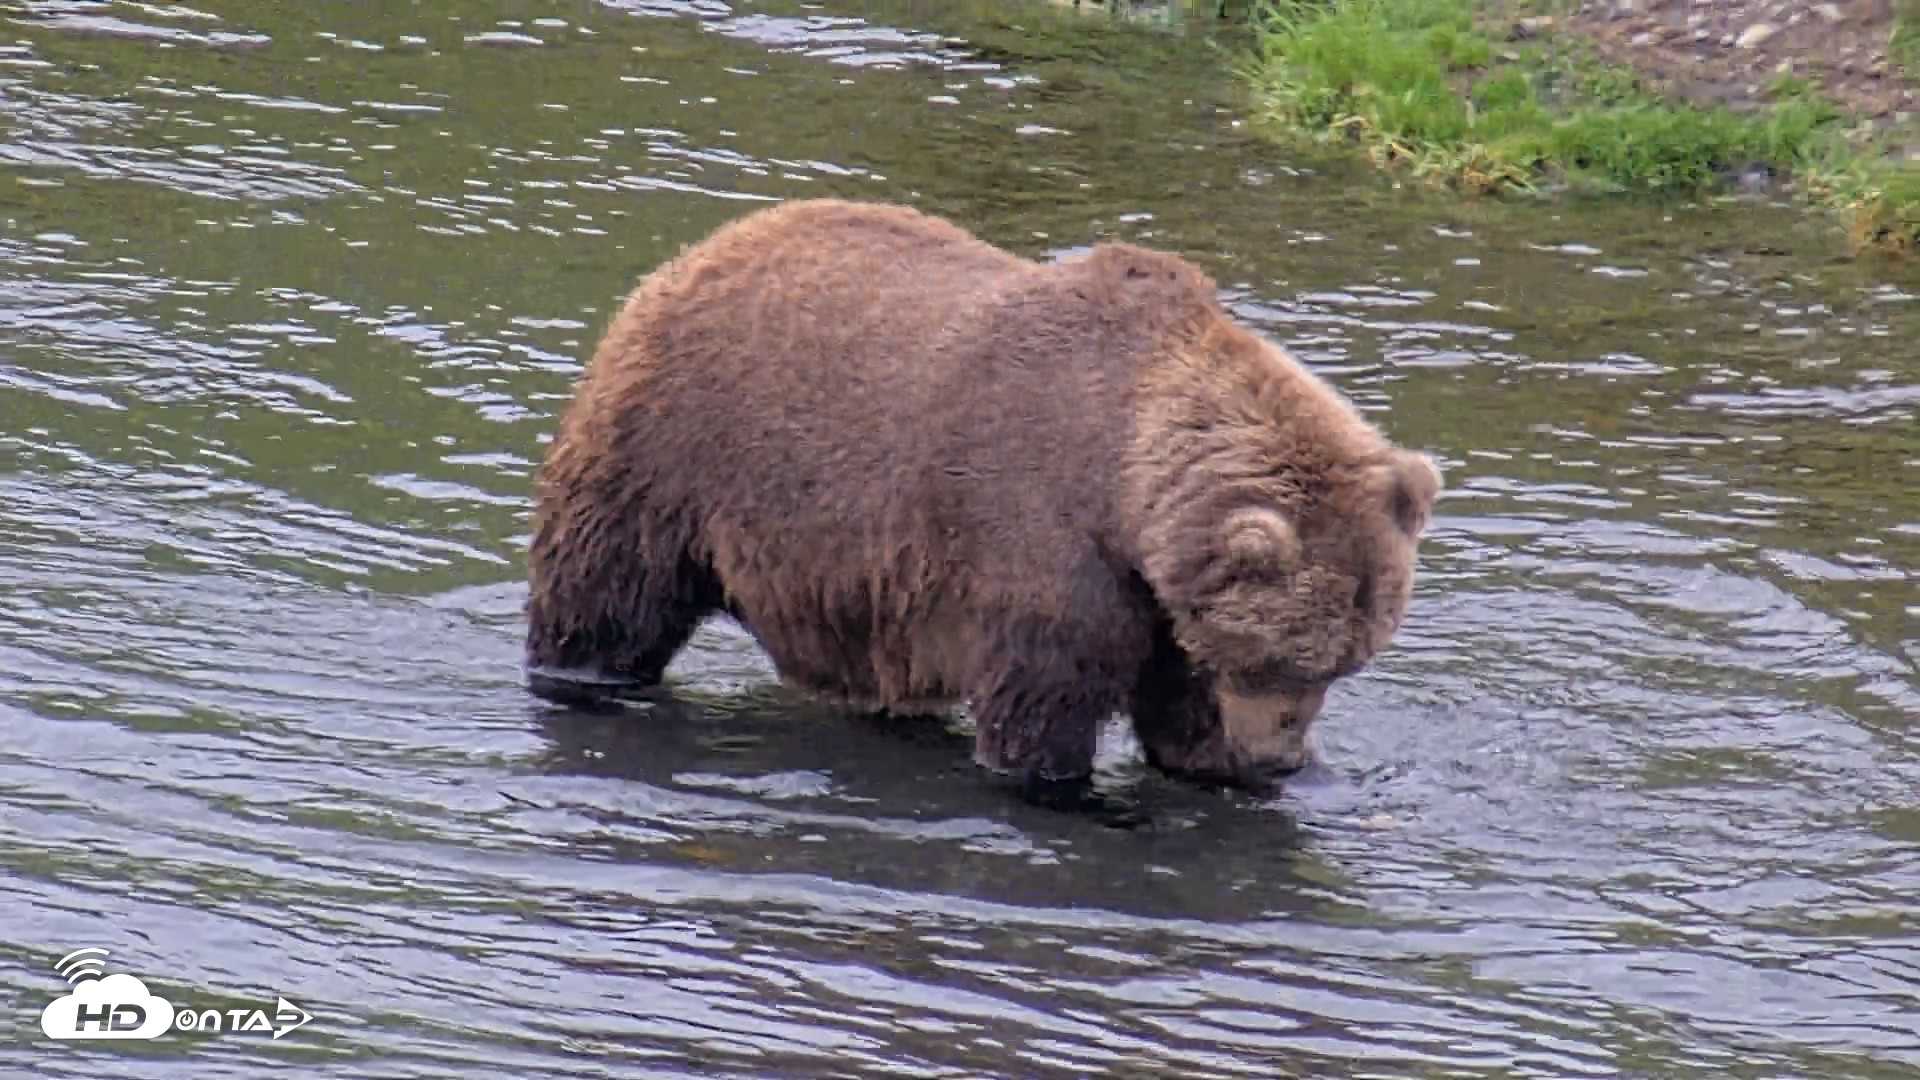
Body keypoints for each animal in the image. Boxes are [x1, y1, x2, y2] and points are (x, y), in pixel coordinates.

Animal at [524, 198, 1442, 811]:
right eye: (1282, 660)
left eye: (1347, 661)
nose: (1278, 755)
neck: (1129, 481)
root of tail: (707, 245)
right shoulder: (1047, 546)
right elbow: (1044, 709)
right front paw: (1069, 791)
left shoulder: (1162, 597)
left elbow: (1179, 705)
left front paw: (1270, 771)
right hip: (674, 452)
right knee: (609, 594)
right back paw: (583, 676)